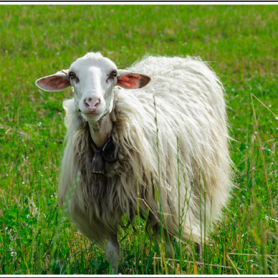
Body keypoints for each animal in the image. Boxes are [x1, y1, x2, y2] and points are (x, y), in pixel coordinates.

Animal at [35, 52, 233, 274]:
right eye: (72, 75)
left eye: (113, 74)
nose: (92, 103)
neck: (105, 147)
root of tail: (177, 58)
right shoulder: (104, 207)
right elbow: (113, 252)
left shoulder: (164, 203)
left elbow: (170, 248)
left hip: (203, 178)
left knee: (200, 225)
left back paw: (200, 262)